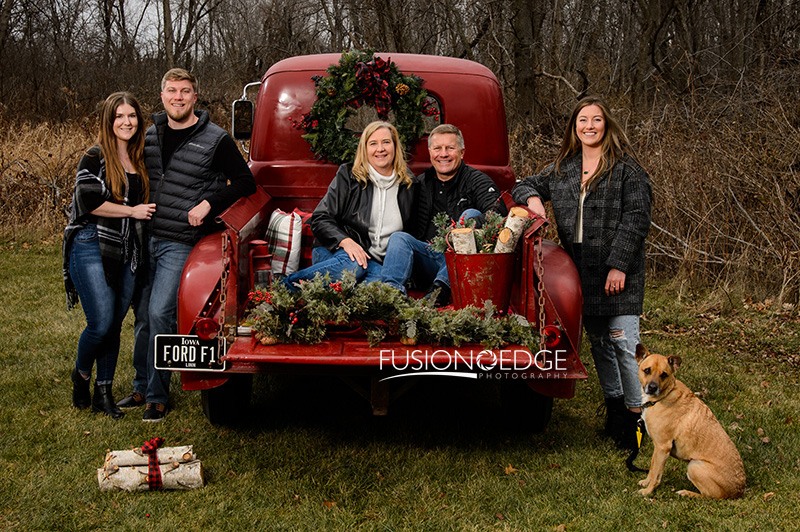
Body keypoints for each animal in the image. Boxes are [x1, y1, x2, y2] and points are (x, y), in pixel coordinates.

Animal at [636, 344, 748, 498]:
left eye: (664, 374)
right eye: (647, 370)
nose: (652, 388)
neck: (664, 395)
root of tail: (739, 490)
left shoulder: (663, 447)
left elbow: (656, 475)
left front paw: (648, 492)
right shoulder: (657, 447)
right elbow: (652, 468)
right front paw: (646, 483)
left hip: (694, 466)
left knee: (708, 496)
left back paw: (685, 493)